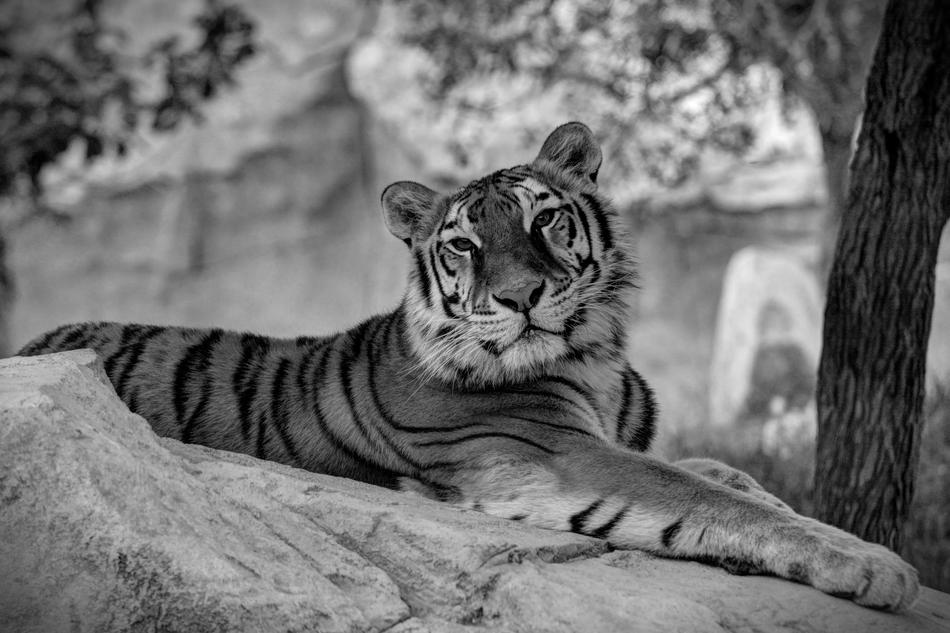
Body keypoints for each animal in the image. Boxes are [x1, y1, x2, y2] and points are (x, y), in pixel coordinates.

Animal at [19, 122, 918, 611]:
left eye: (544, 221)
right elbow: (706, 495)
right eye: (463, 245)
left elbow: (732, 477)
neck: (598, 354)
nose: (521, 297)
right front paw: (876, 564)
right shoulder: (559, 453)